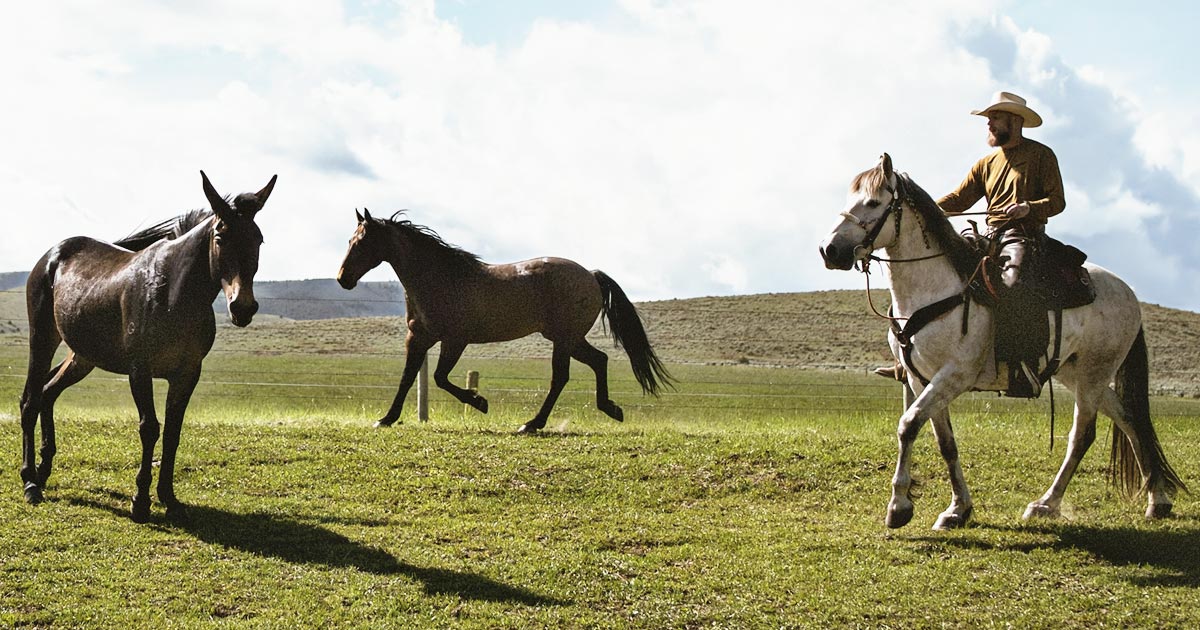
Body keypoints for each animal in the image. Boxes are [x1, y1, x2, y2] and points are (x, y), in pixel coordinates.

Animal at [19, 169, 278, 518]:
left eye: (258, 239)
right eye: (220, 237)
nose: (243, 307)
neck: (173, 294)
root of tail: (53, 253)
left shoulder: (187, 373)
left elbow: (172, 433)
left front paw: (169, 497)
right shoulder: (139, 370)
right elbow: (150, 428)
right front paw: (140, 500)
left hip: (82, 357)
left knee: (48, 393)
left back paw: (44, 470)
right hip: (42, 339)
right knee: (31, 401)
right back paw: (30, 482)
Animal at [336, 208, 676, 429]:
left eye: (363, 242)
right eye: (350, 240)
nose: (343, 279)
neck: (441, 279)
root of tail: (591, 275)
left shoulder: (454, 340)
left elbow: (440, 378)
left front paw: (480, 402)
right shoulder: (419, 337)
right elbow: (408, 378)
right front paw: (386, 419)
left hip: (563, 339)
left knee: (561, 378)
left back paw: (532, 424)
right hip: (568, 338)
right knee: (599, 360)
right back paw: (610, 409)